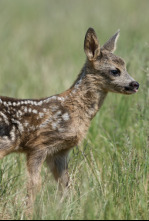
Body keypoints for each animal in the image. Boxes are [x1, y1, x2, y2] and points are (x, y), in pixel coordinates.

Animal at [0, 28, 139, 206]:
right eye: (115, 70)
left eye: (125, 66)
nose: (135, 84)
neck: (72, 109)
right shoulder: (38, 145)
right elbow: (34, 184)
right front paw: (27, 210)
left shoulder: (60, 151)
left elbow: (66, 185)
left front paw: (72, 207)